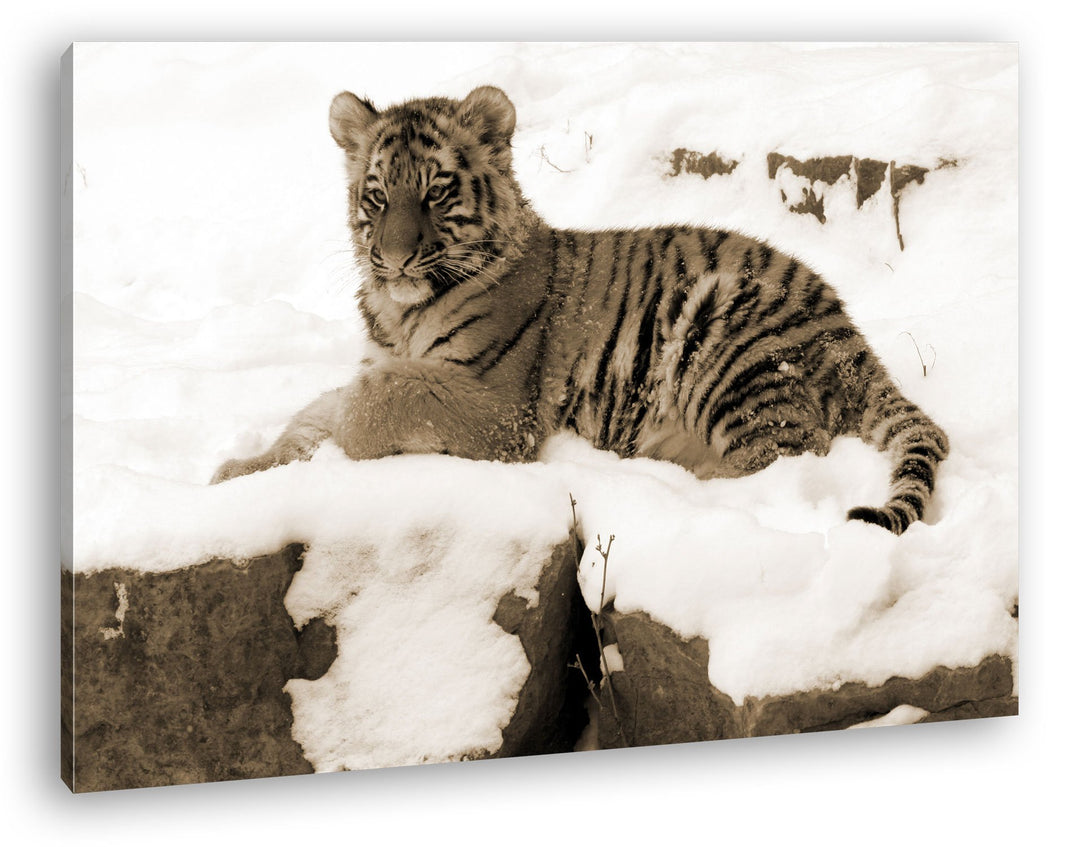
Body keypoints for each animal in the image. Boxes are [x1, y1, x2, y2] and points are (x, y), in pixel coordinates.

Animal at [211, 85, 949, 535]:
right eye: (377, 195)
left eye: (436, 191)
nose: (391, 259)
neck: (398, 314)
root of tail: (846, 327)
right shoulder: (386, 360)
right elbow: (314, 412)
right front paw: (238, 472)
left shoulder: (496, 405)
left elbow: (373, 401)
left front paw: (345, 447)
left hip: (723, 335)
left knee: (784, 460)